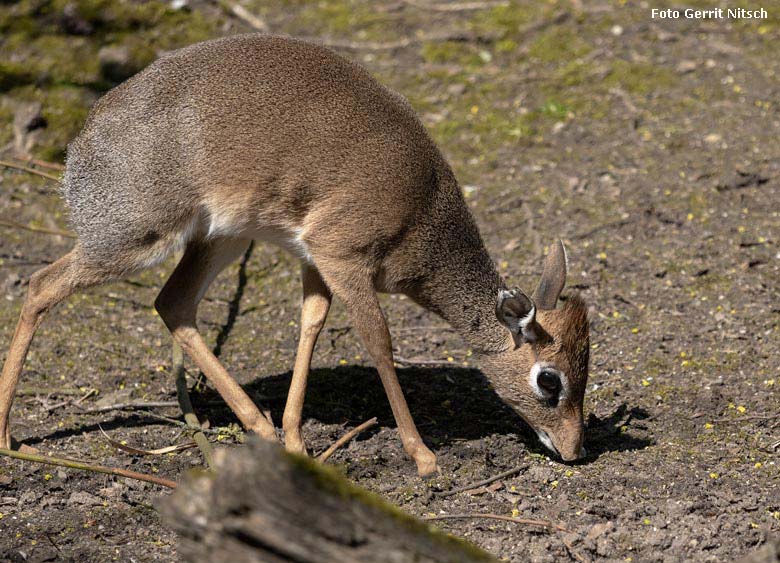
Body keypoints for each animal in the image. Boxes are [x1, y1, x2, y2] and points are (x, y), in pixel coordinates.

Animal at [0, 35, 588, 476]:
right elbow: (379, 342)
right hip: (134, 240)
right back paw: (7, 434)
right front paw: (422, 456)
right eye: (550, 380)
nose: (574, 448)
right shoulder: (345, 256)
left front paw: (294, 438)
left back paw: (258, 426)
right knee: (41, 284)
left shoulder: (315, 258)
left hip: (222, 239)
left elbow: (312, 321)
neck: (423, 213)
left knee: (173, 304)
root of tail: (82, 142)